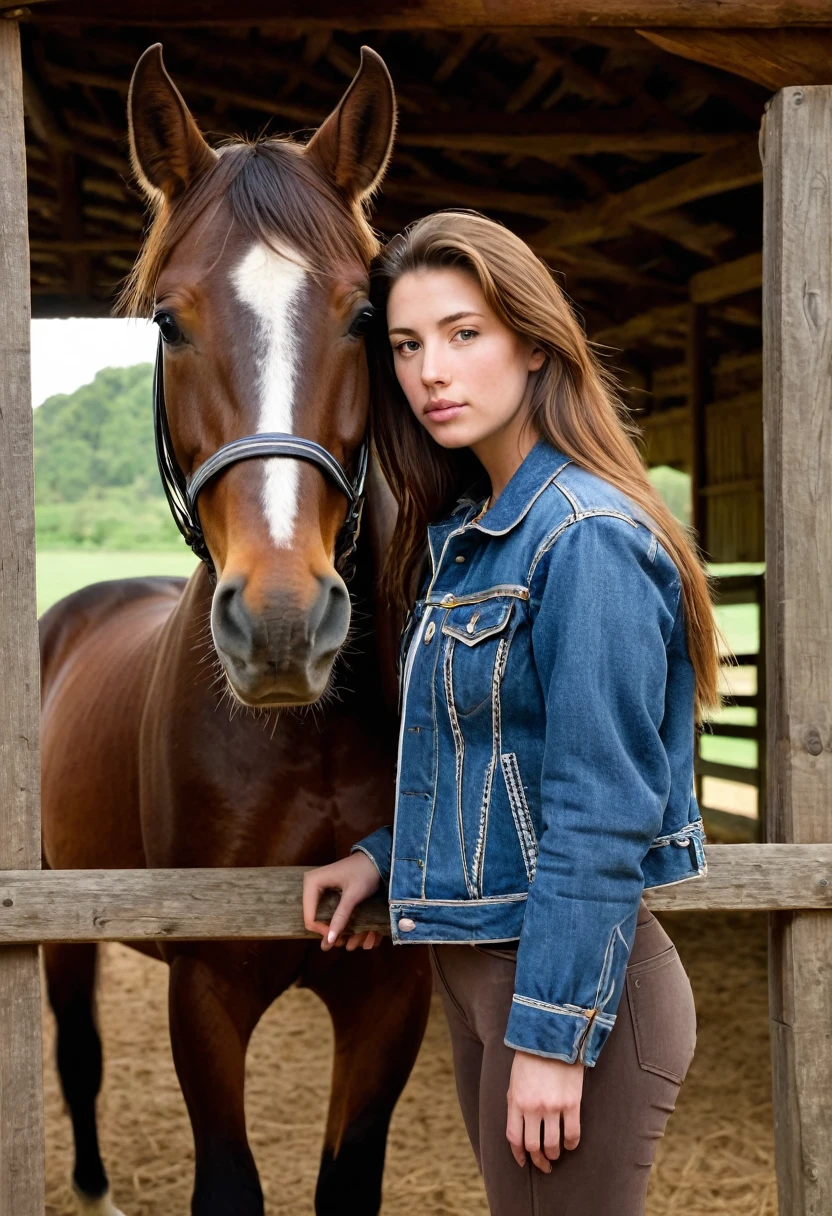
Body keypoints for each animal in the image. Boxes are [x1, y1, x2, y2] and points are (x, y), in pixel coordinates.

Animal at [37, 42, 428, 1211]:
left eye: (363, 317)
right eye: (169, 320)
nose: (284, 623)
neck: (306, 738)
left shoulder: (391, 997)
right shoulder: (205, 987)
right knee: (76, 1046)